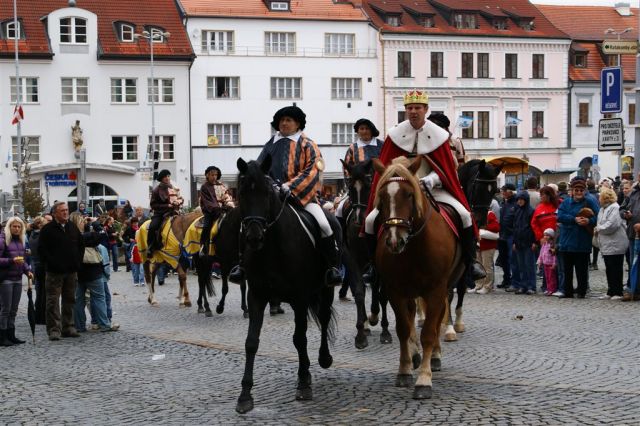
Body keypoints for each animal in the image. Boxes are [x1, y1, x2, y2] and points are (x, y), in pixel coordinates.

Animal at [234, 156, 336, 412]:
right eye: (241, 192)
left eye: (267, 192)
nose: (254, 237)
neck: (272, 248)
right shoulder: (257, 296)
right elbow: (251, 342)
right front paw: (245, 395)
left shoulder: (299, 298)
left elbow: (299, 338)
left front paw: (304, 383)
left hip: (326, 288)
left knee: (324, 318)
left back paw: (323, 358)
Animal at [340, 158, 390, 348]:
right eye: (350, 187)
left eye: (369, 185)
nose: (358, 218)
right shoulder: (353, 259)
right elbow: (359, 292)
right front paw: (360, 333)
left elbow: (383, 294)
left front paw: (385, 331)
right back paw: (369, 322)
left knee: (376, 287)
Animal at [370, 156, 464, 400]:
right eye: (382, 197)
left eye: (409, 194)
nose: (395, 240)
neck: (414, 248)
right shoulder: (395, 290)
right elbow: (403, 329)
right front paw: (404, 371)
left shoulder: (436, 290)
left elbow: (429, 333)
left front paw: (423, 380)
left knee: (438, 317)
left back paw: (435, 356)